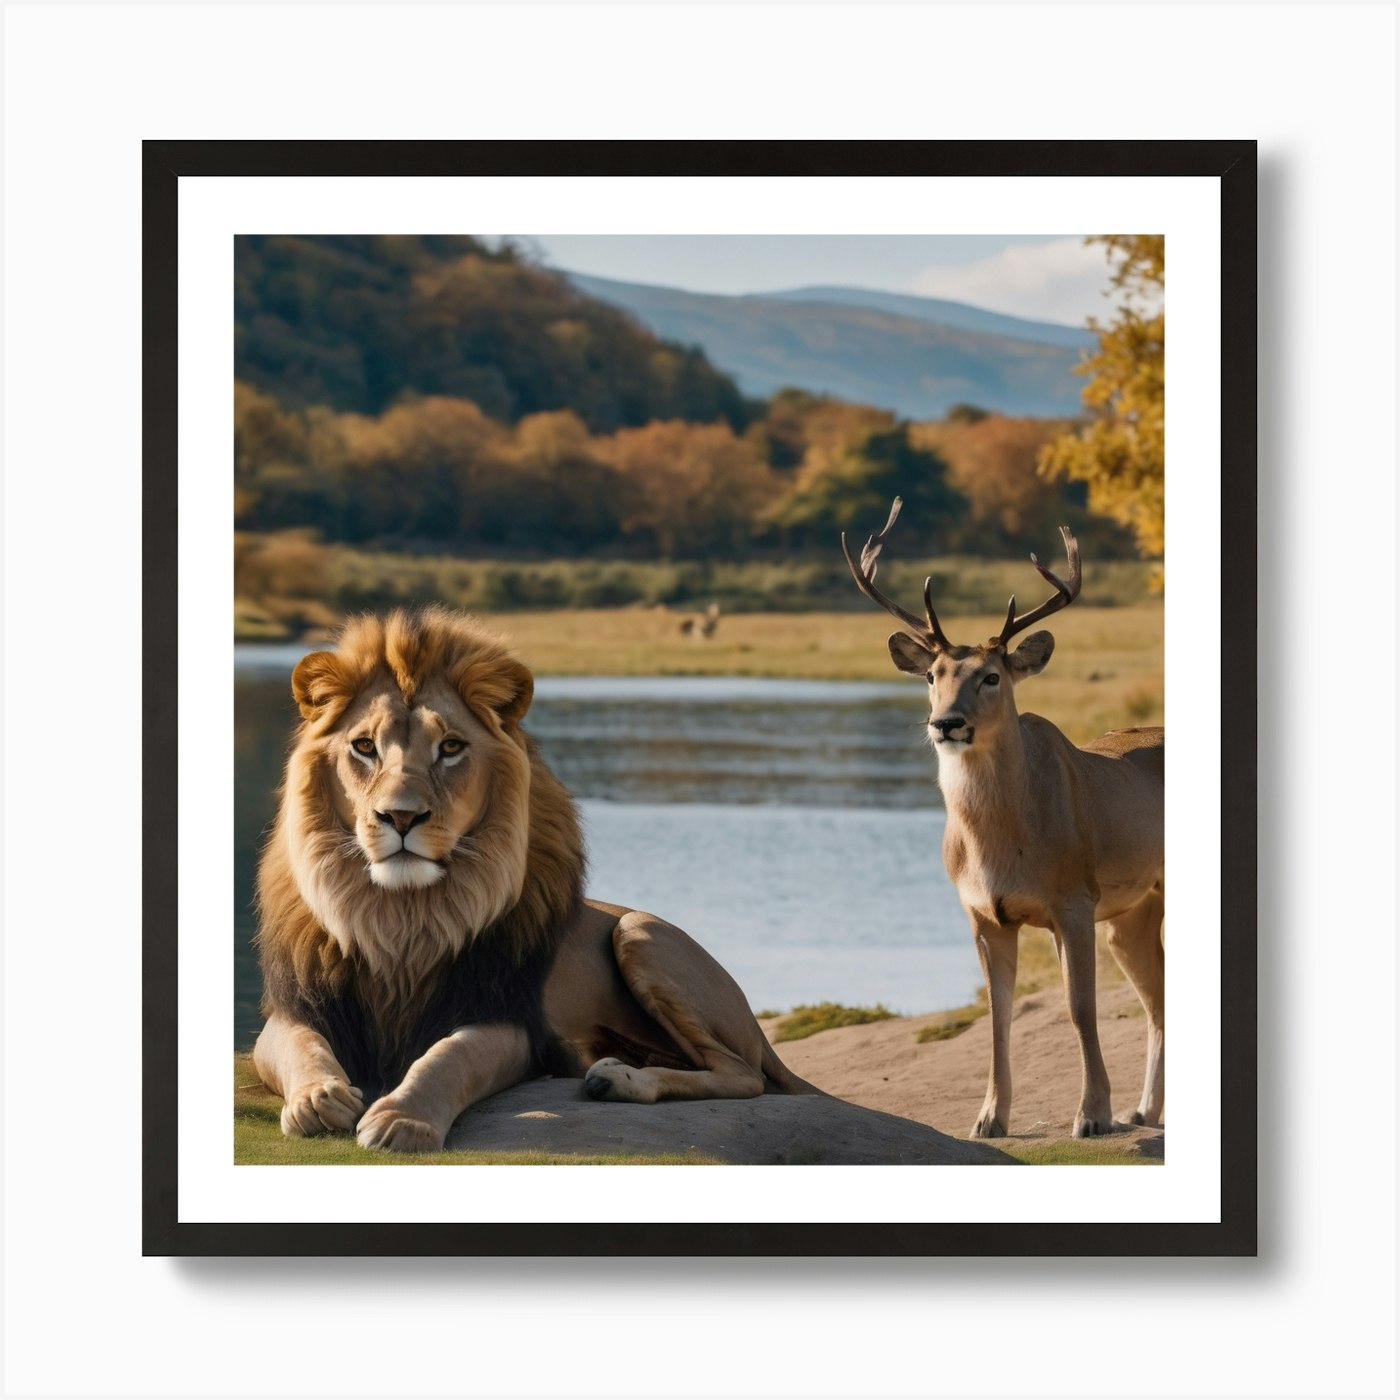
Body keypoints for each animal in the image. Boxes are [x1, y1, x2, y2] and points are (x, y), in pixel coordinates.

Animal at [251, 604, 816, 1152]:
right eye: (365, 746)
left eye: (450, 747)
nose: (401, 817)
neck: (402, 919)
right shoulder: (296, 1009)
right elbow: (301, 1047)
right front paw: (317, 1098)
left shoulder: (507, 1020)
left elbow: (448, 1058)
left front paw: (402, 1119)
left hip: (637, 932)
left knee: (743, 1075)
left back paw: (618, 1080)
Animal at [843, 499, 1164, 1139]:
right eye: (931, 675)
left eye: (992, 675)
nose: (946, 722)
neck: (1003, 850)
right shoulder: (983, 913)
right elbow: (997, 1013)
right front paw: (989, 1118)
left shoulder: (1075, 899)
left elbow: (1080, 1008)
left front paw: (1091, 1116)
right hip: (1132, 915)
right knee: (1158, 998)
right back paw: (1143, 1110)